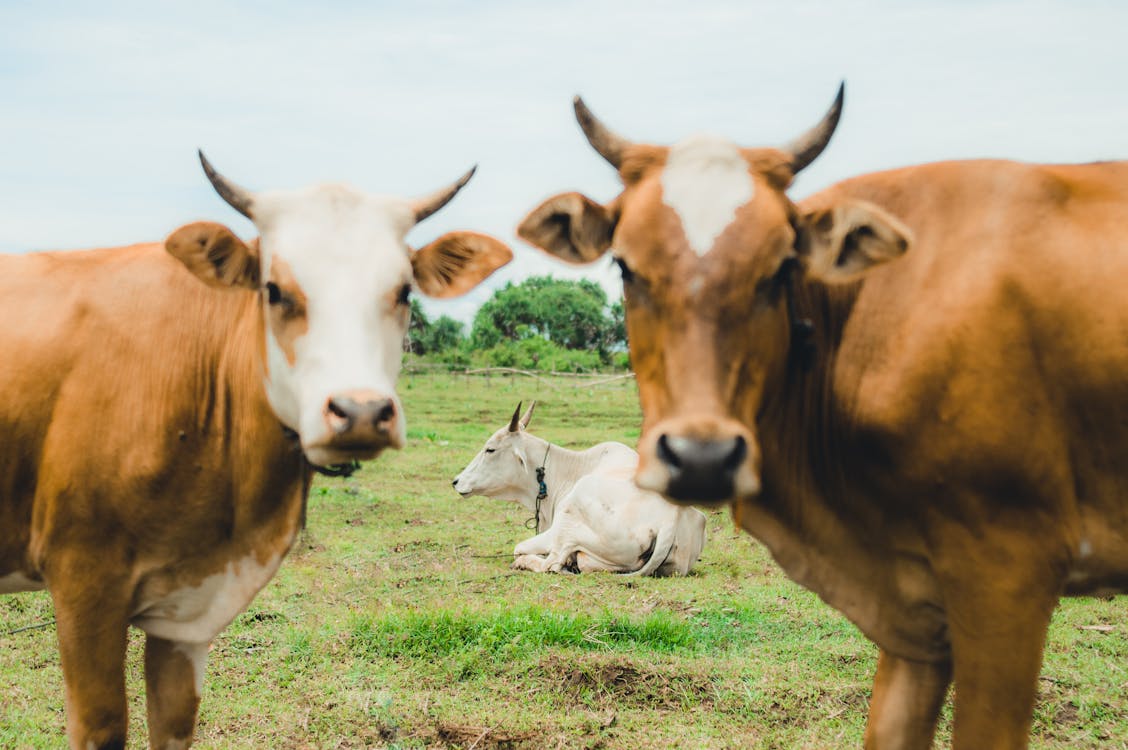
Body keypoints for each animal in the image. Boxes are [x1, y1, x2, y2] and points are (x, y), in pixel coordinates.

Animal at [0, 153, 512, 748]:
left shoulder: (189, 614)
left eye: (404, 291)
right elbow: (102, 725)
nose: (360, 412)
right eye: (274, 290)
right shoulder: (83, 584)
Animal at [451, 403, 703, 572]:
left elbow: (520, 548)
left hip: (570, 519)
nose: (456, 481)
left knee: (551, 562)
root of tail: (669, 519)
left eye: (490, 449)